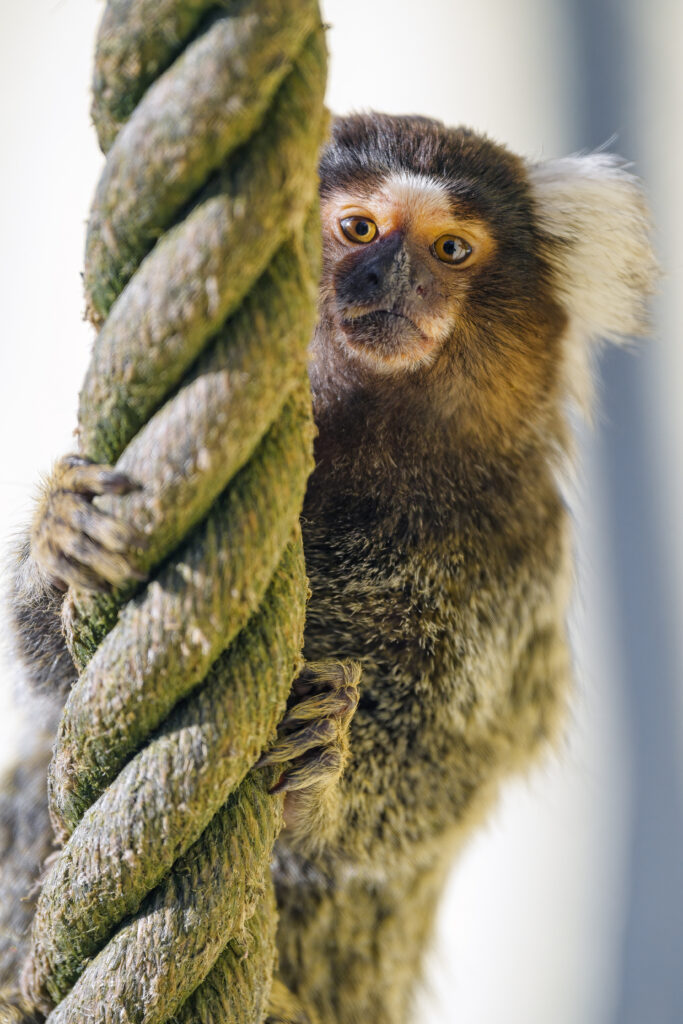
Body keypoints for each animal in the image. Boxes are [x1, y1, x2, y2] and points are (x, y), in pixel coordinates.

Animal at [1, 112, 656, 1024]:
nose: (391, 278)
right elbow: (55, 686)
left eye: (451, 248)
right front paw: (61, 533)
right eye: (359, 230)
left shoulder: (517, 556)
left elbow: (455, 759)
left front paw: (325, 772)